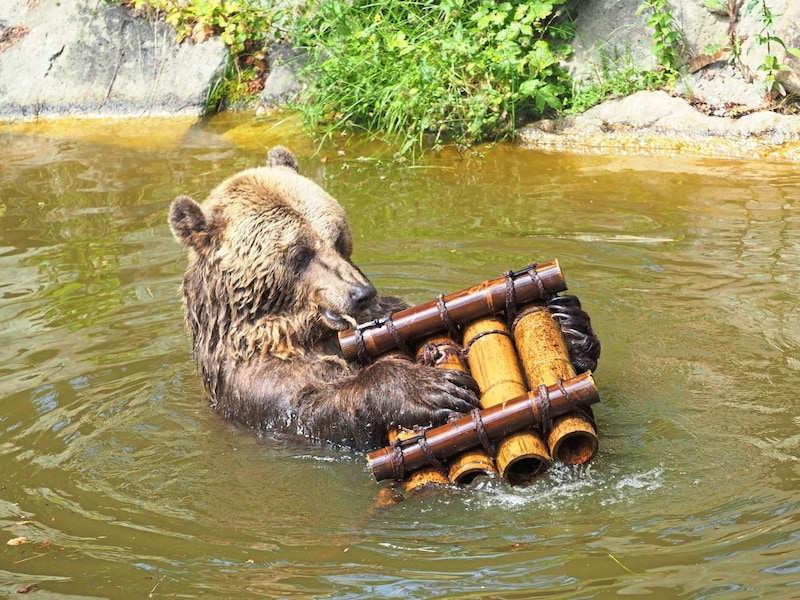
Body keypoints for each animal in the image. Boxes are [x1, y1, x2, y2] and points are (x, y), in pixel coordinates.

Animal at [170, 145, 478, 450]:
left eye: (338, 238)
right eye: (301, 253)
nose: (361, 294)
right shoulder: (255, 382)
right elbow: (307, 404)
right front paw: (425, 388)